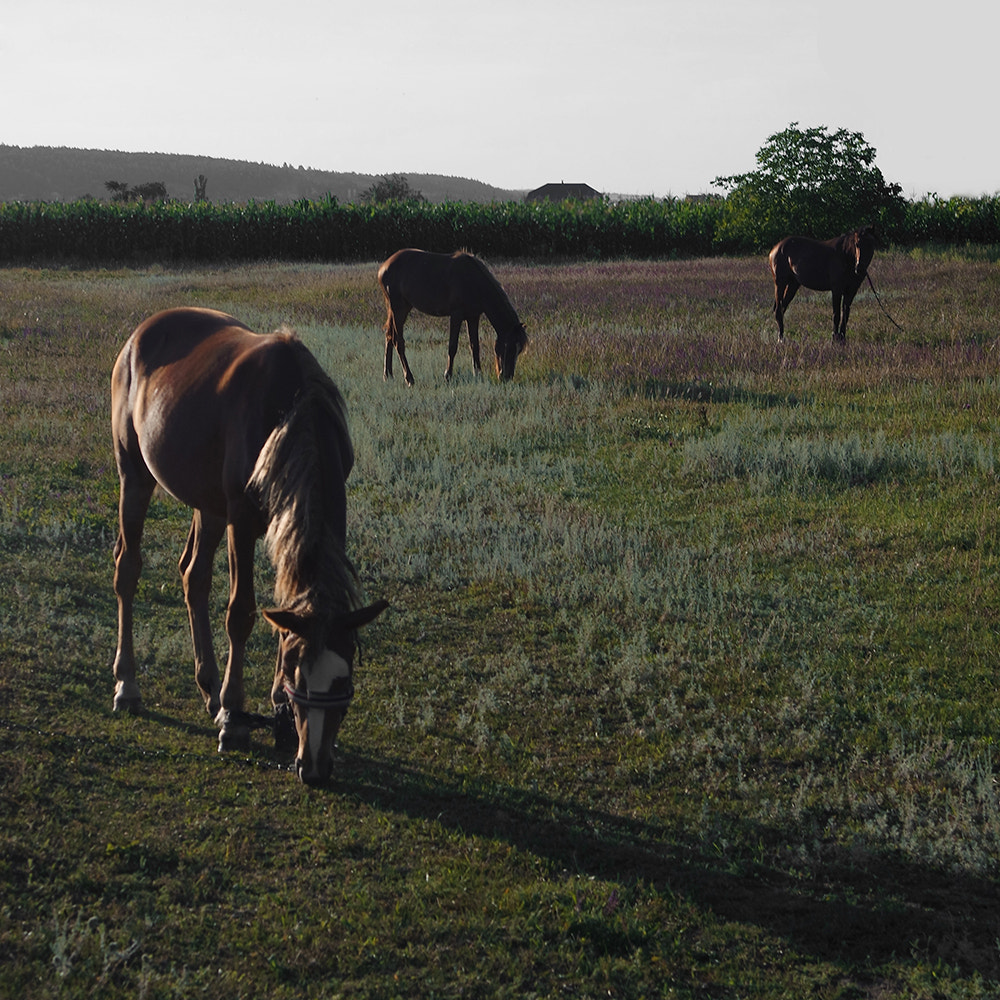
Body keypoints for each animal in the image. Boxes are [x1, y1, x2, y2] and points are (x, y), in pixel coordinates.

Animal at [111, 308, 386, 784]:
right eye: (300, 675)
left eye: (343, 681)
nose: (315, 767)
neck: (290, 412)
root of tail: (139, 334)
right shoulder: (240, 521)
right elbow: (241, 613)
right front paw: (236, 719)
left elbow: (282, 613)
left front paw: (275, 713)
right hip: (136, 476)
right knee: (128, 569)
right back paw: (129, 685)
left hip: (207, 505)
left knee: (194, 577)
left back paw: (209, 688)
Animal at [376, 250, 532, 386]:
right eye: (508, 347)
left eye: (518, 350)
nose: (506, 377)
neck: (474, 281)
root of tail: (383, 268)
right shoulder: (456, 315)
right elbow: (453, 346)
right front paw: (448, 376)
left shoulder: (473, 317)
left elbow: (475, 346)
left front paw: (478, 375)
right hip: (398, 309)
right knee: (398, 341)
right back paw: (409, 378)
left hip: (402, 308)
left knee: (389, 336)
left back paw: (387, 375)